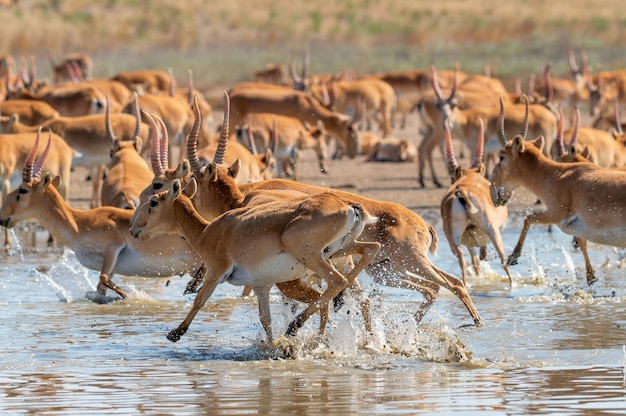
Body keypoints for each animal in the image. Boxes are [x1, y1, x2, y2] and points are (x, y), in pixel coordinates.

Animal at [0, 133, 205, 302]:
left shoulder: (112, 248)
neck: (78, 223)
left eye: (22, 190)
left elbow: (102, 278)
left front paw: (127, 295)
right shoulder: (111, 267)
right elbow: (100, 287)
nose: (3, 217)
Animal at [129, 176, 378, 342]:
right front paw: (273, 346)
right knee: (369, 252)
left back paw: (296, 325)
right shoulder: (262, 285)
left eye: (153, 201)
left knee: (338, 282)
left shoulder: (215, 273)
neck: (206, 232)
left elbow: (199, 300)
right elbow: (264, 318)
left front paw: (176, 333)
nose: (133, 229)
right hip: (338, 250)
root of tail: (348, 206)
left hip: (312, 256)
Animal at [436, 118, 510, 284]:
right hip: (493, 230)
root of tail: (462, 192)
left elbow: (475, 263)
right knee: (503, 259)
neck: (469, 177)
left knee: (463, 260)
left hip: (454, 239)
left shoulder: (470, 242)